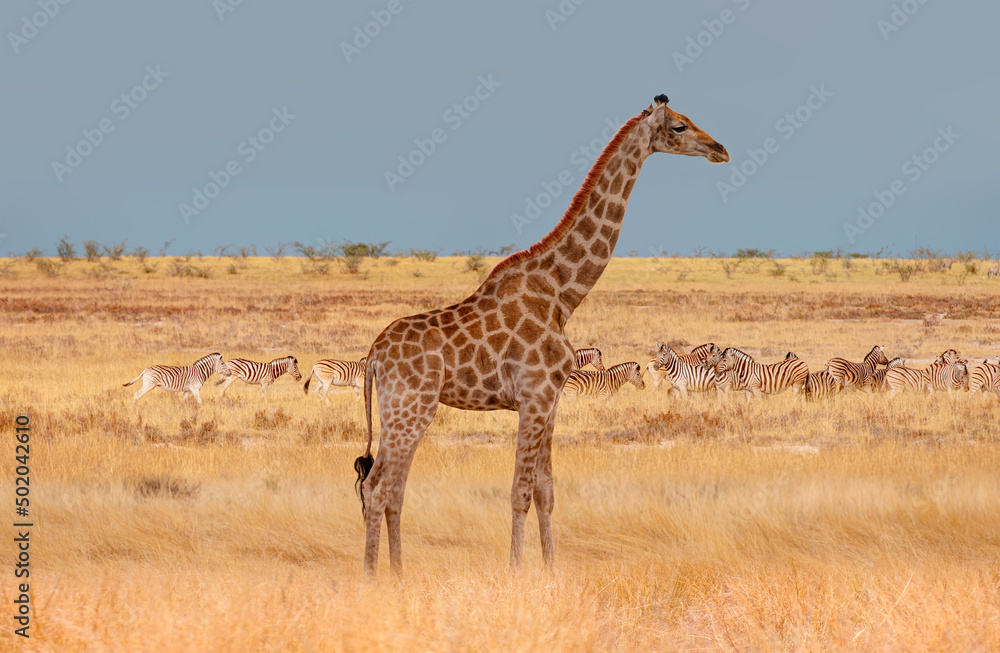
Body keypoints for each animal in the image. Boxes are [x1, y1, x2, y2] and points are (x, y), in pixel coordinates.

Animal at [354, 94, 729, 576]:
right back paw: (372, 578)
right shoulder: (533, 396)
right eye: (680, 126)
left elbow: (546, 492)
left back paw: (399, 575)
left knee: (391, 488)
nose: (720, 149)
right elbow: (519, 491)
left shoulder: (551, 401)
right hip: (410, 408)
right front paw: (516, 572)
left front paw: (552, 572)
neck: (563, 293)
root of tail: (374, 356)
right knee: (378, 487)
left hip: (400, 411)